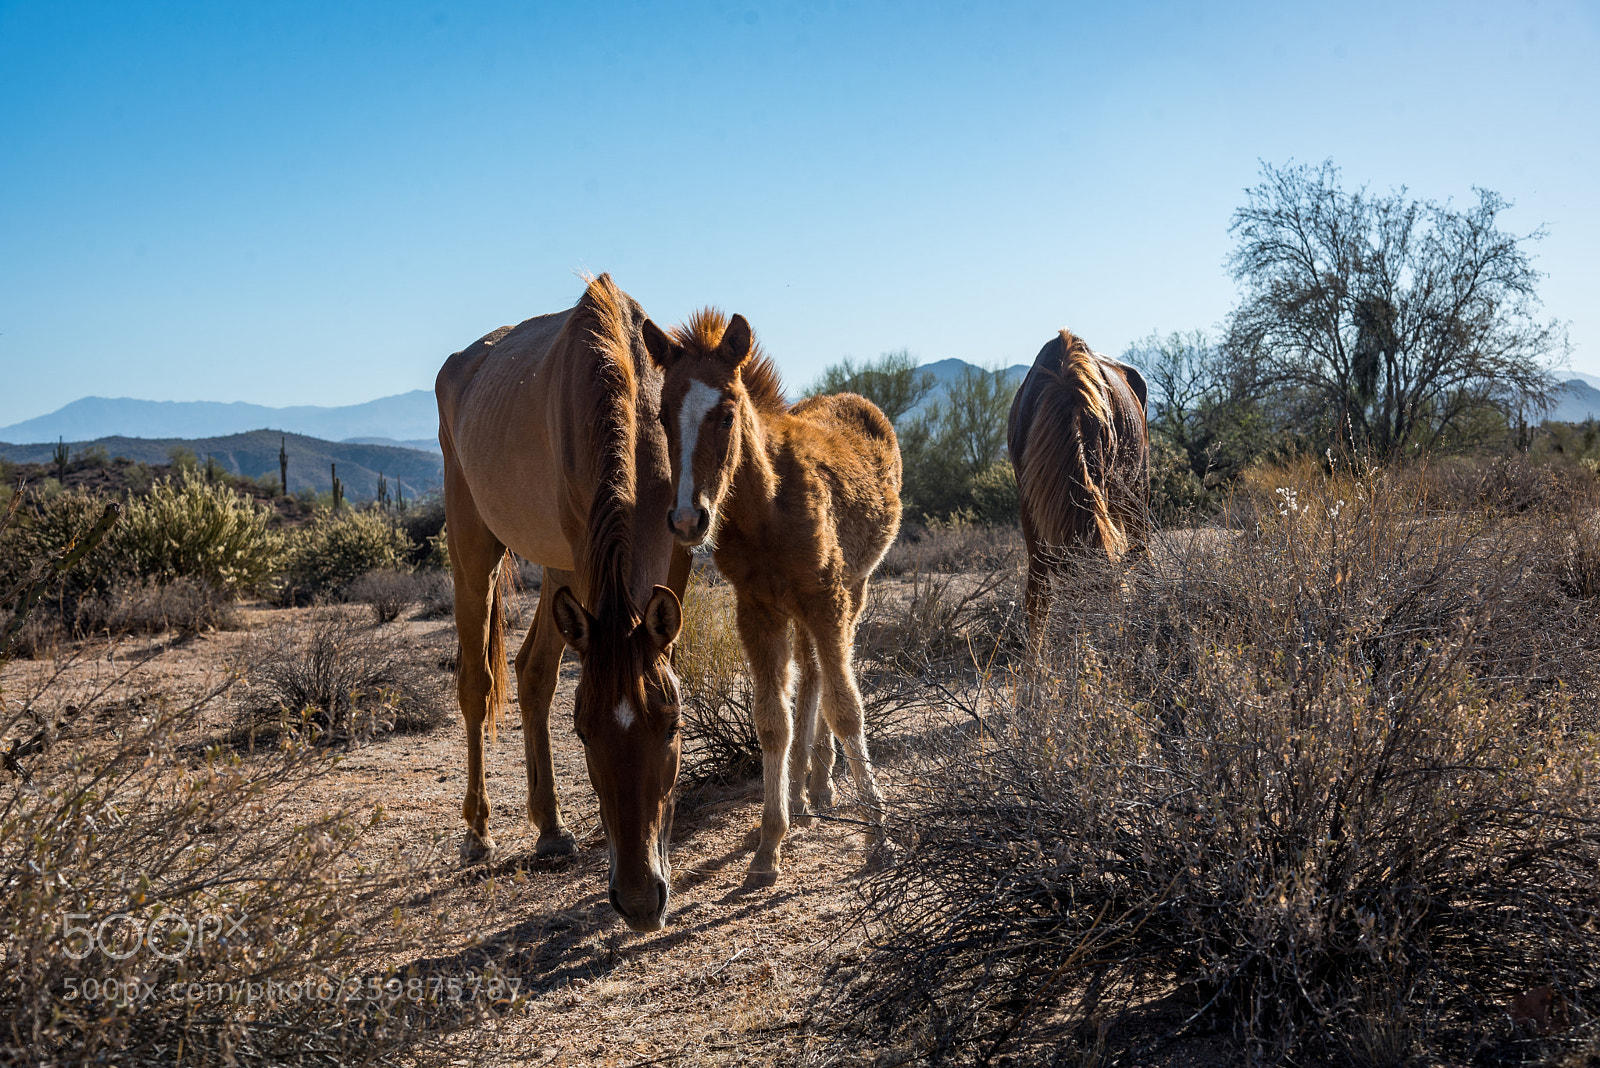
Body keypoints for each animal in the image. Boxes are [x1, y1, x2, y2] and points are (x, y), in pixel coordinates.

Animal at [435, 274, 692, 932]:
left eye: (672, 725)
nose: (637, 899)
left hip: (558, 569)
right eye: (582, 731)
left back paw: (550, 831)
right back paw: (478, 832)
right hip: (475, 544)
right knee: (476, 684)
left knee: (533, 672)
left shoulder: (677, 544)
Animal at [641, 309, 901, 882]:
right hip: (802, 610)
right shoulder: (756, 611)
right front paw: (768, 845)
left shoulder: (826, 598)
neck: (766, 510)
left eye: (726, 414)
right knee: (811, 673)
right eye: (663, 416)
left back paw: (821, 784)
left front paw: (880, 834)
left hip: (853, 589)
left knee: (827, 674)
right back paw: (808, 789)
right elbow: (771, 721)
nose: (688, 520)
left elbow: (848, 708)